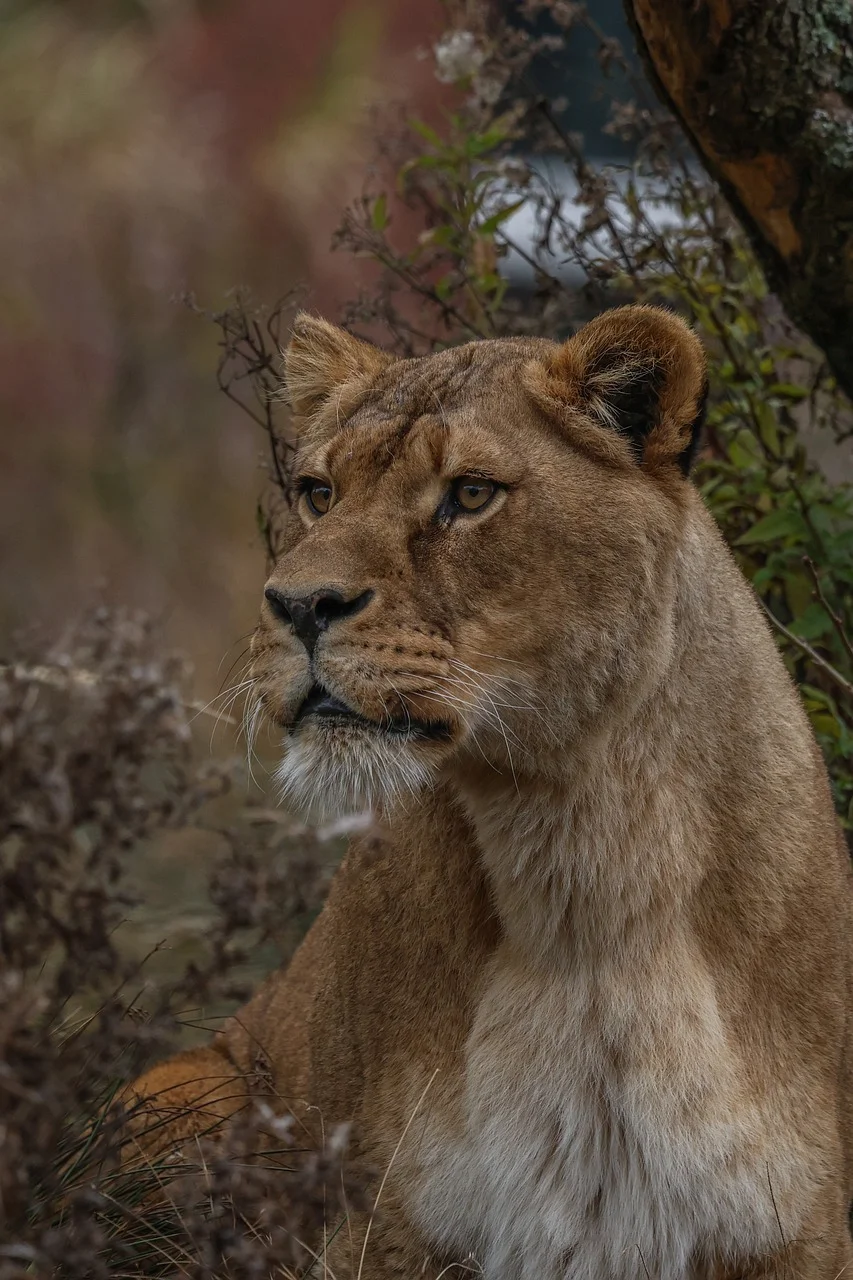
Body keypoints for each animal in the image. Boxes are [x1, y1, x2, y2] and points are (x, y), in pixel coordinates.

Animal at [125, 305, 853, 1279]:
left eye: (469, 495)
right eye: (318, 492)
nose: (298, 604)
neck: (576, 858)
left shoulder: (795, 1232)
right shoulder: (381, 1229)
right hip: (181, 1089)